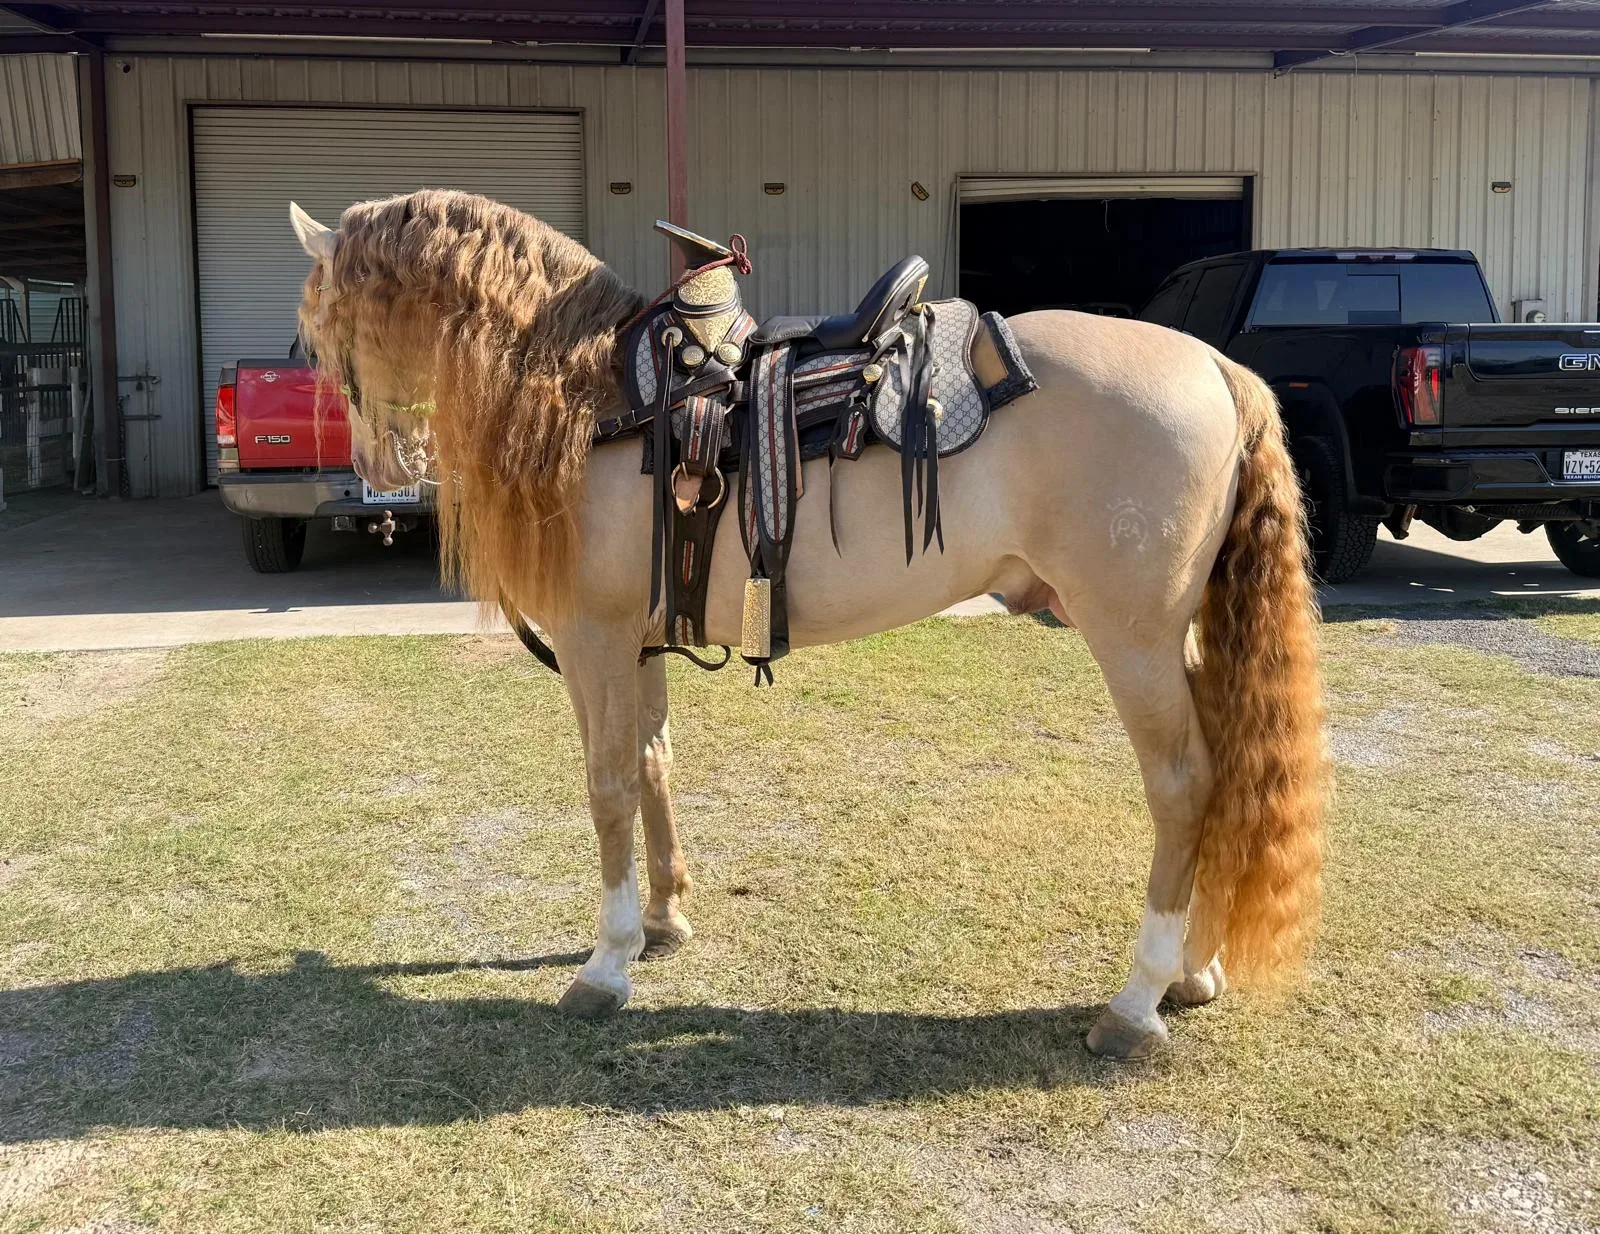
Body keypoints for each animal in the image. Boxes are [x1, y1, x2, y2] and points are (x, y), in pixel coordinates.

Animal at [289, 189, 1326, 1060]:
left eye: (324, 329)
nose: (381, 465)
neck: (585, 392)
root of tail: (1215, 366)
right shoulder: (636, 641)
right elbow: (656, 763)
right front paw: (664, 921)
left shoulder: (593, 641)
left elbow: (609, 785)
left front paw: (607, 964)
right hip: (1175, 640)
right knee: (1228, 775)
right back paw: (1194, 971)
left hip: (1132, 638)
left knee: (1184, 785)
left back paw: (1137, 1001)